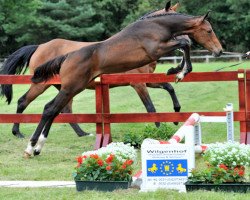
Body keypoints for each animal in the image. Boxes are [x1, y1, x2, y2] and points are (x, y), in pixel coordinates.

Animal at [0, 1, 184, 139]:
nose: (185, 42)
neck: (137, 42)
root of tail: (40, 47)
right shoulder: (137, 84)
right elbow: (150, 107)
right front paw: (159, 128)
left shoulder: (147, 81)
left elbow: (169, 87)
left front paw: (176, 114)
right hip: (43, 85)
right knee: (23, 101)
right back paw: (17, 133)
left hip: (66, 88)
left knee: (64, 109)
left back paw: (82, 133)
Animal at [23, 2, 223, 158]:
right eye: (209, 30)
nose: (219, 51)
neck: (156, 26)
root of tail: (67, 57)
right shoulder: (154, 53)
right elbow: (184, 45)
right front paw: (179, 72)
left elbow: (171, 77)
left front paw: (176, 76)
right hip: (70, 87)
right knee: (49, 109)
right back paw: (31, 147)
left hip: (72, 88)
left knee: (54, 109)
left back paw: (38, 147)